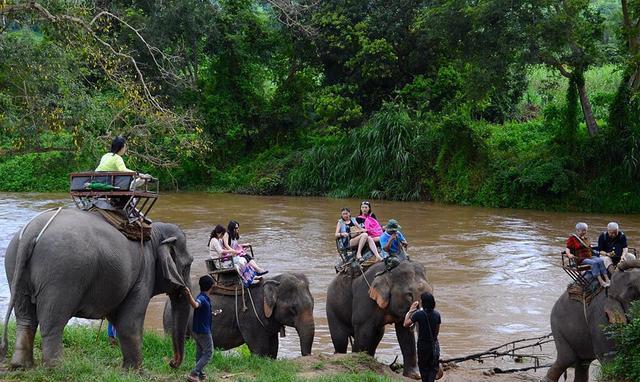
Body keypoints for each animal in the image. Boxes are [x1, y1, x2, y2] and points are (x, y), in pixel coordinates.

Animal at [0, 209, 192, 370]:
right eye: (189, 264)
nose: (171, 363)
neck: (155, 231)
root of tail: (32, 230)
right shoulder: (144, 274)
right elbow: (129, 322)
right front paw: (137, 372)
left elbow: (117, 318)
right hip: (62, 273)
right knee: (53, 321)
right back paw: (57, 369)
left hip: (14, 264)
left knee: (25, 318)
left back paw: (21, 366)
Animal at [165, 272, 316, 358]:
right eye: (293, 309)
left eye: (313, 304)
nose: (307, 356)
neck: (272, 280)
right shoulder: (250, 317)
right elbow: (259, 348)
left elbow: (273, 347)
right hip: (171, 319)